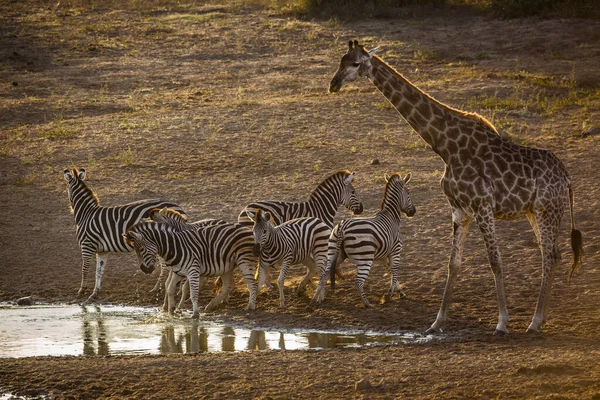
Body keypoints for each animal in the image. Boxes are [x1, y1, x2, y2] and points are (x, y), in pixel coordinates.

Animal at [63, 166, 185, 304]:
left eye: (66, 188)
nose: (70, 207)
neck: (86, 214)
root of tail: (179, 208)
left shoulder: (87, 245)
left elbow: (85, 268)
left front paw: (81, 291)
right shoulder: (102, 251)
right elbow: (99, 271)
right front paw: (95, 293)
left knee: (167, 266)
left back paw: (162, 289)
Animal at [124, 219, 258, 318]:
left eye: (141, 250)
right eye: (135, 250)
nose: (144, 270)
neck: (174, 247)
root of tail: (248, 229)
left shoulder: (193, 270)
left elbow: (193, 292)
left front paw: (195, 314)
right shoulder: (178, 272)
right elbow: (170, 289)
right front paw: (171, 311)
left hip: (244, 260)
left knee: (252, 283)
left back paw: (250, 306)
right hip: (227, 267)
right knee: (228, 286)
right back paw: (211, 305)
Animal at [328, 173, 418, 308]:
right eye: (408, 193)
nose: (413, 211)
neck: (391, 216)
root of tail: (343, 227)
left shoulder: (382, 256)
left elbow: (390, 271)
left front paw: (400, 292)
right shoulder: (396, 251)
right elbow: (395, 271)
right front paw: (389, 295)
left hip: (336, 253)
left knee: (327, 271)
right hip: (365, 258)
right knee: (358, 281)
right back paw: (367, 303)